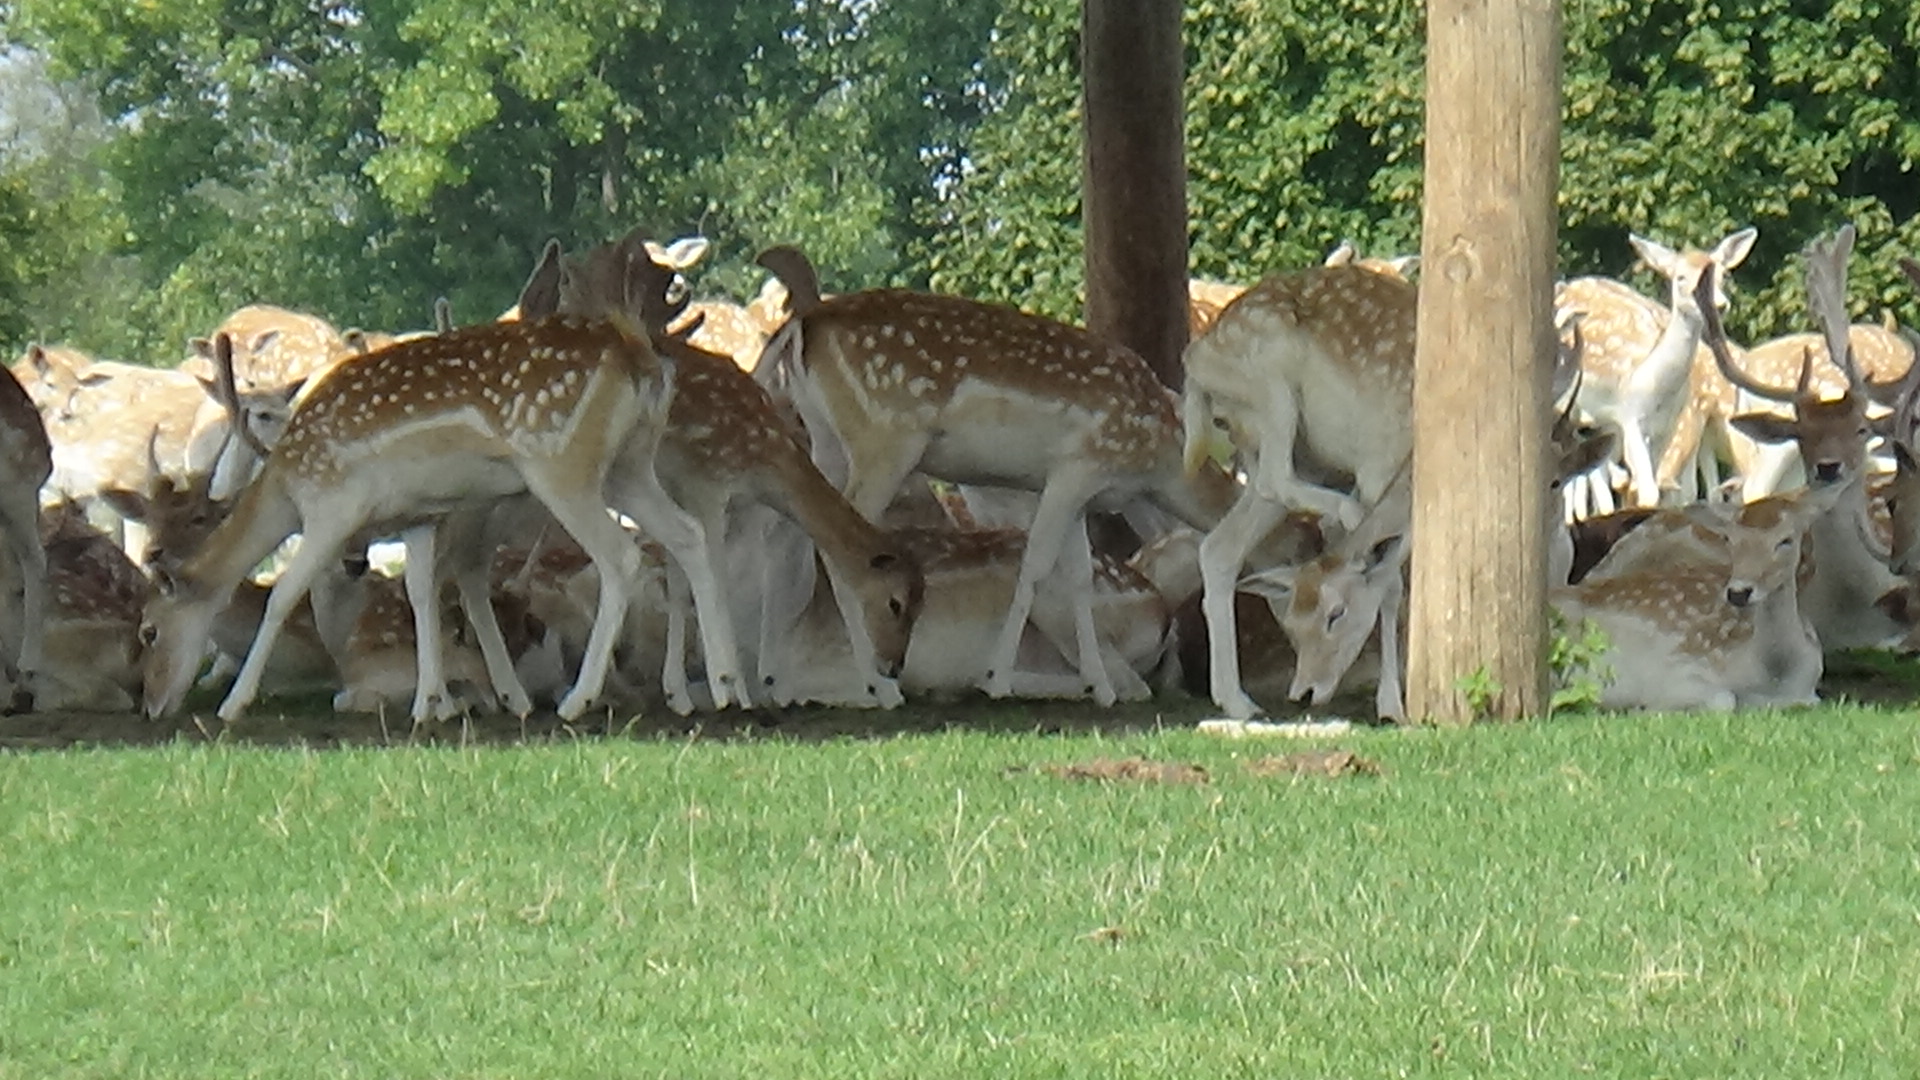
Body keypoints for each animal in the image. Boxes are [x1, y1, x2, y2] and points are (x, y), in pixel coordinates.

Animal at [139, 255, 741, 725]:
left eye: (148, 630)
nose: (151, 705)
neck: (287, 480)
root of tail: (639, 356)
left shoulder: (333, 506)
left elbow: (283, 594)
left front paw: (233, 703)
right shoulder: (420, 513)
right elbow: (420, 591)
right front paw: (432, 705)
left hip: (561, 464)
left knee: (621, 556)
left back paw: (579, 699)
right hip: (630, 465)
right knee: (688, 536)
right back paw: (722, 686)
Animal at [754, 245, 1239, 708]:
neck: (1161, 462)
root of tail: (806, 323)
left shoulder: (1080, 494)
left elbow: (1079, 575)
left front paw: (1099, 686)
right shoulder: (1078, 467)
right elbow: (1036, 564)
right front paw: (997, 679)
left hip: (826, 439)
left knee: (797, 527)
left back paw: (775, 677)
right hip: (885, 437)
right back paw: (880, 687)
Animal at [1554, 226, 1758, 515]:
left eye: (1724, 275)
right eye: (1680, 277)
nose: (1718, 305)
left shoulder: (1666, 427)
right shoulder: (1630, 417)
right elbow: (1650, 491)